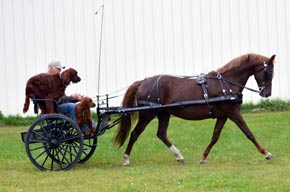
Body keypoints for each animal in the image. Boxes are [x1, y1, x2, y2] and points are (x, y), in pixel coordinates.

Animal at [114, 53, 276, 165]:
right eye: (268, 73)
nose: (266, 93)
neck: (226, 83)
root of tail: (142, 82)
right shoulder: (233, 113)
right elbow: (249, 133)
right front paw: (266, 153)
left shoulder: (223, 115)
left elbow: (215, 136)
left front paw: (204, 157)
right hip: (147, 114)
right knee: (135, 134)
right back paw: (126, 158)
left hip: (163, 113)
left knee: (161, 134)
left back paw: (179, 156)